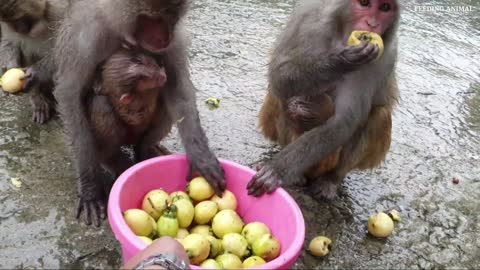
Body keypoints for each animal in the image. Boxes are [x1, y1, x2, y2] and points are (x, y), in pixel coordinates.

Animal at [53, 0, 226, 227]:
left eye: (171, 17)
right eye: (151, 20)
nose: (165, 38)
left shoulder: (176, 38)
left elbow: (177, 87)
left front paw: (200, 157)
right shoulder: (86, 37)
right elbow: (70, 96)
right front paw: (90, 188)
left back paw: (145, 149)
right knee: (100, 104)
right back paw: (112, 160)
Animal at [248, 0, 402, 198]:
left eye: (385, 8)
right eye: (364, 3)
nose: (372, 24)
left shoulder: (385, 57)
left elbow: (345, 120)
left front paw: (277, 171)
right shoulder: (310, 20)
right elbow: (279, 74)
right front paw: (341, 61)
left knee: (379, 114)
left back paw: (331, 179)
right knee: (283, 96)